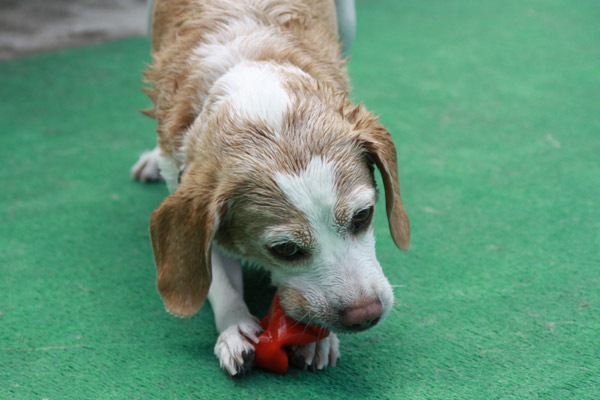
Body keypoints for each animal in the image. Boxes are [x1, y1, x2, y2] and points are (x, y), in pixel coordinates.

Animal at [132, 0, 408, 376]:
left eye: (363, 216)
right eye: (285, 250)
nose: (366, 315)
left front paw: (318, 339)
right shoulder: (196, 200)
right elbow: (218, 282)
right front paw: (234, 327)